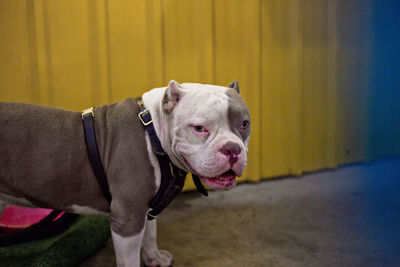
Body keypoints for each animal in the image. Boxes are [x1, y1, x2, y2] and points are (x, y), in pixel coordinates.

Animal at [0, 81, 250, 267]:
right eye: (199, 128)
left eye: (245, 124)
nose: (232, 149)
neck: (154, 131)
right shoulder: (127, 218)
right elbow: (129, 258)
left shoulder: (144, 207)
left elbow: (150, 234)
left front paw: (154, 258)